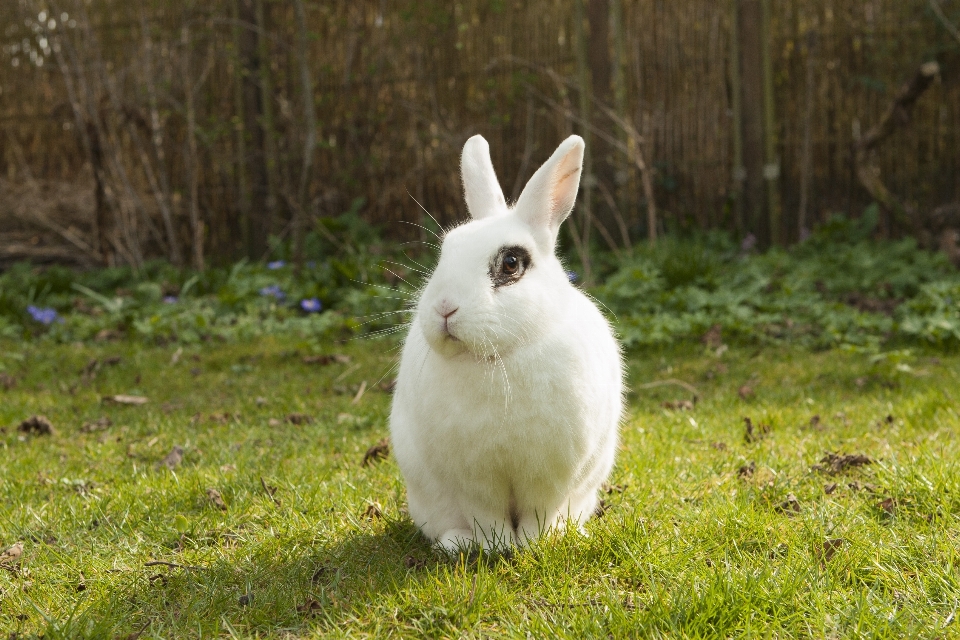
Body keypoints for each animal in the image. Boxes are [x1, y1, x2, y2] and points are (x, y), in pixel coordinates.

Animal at [390, 134, 624, 552]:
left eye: (511, 263)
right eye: (446, 251)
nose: (444, 307)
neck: (498, 358)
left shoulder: (549, 476)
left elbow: (538, 512)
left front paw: (532, 544)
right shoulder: (473, 480)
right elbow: (487, 516)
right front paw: (497, 547)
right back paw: (456, 543)